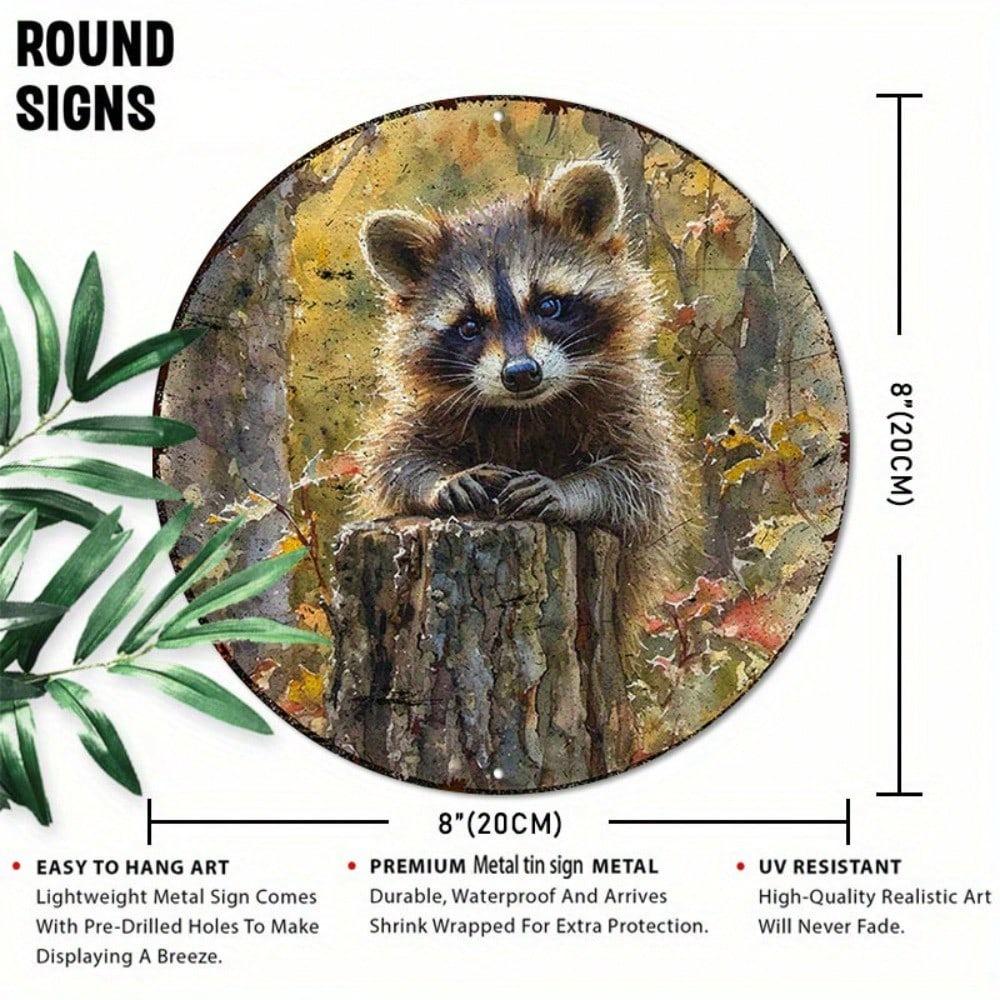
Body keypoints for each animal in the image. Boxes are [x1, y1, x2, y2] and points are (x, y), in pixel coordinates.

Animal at [355, 159, 693, 628]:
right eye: (469, 326)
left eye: (548, 305)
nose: (520, 374)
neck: (525, 409)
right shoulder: (424, 409)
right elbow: (392, 461)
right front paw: (440, 480)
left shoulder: (629, 403)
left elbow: (639, 482)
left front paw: (572, 490)